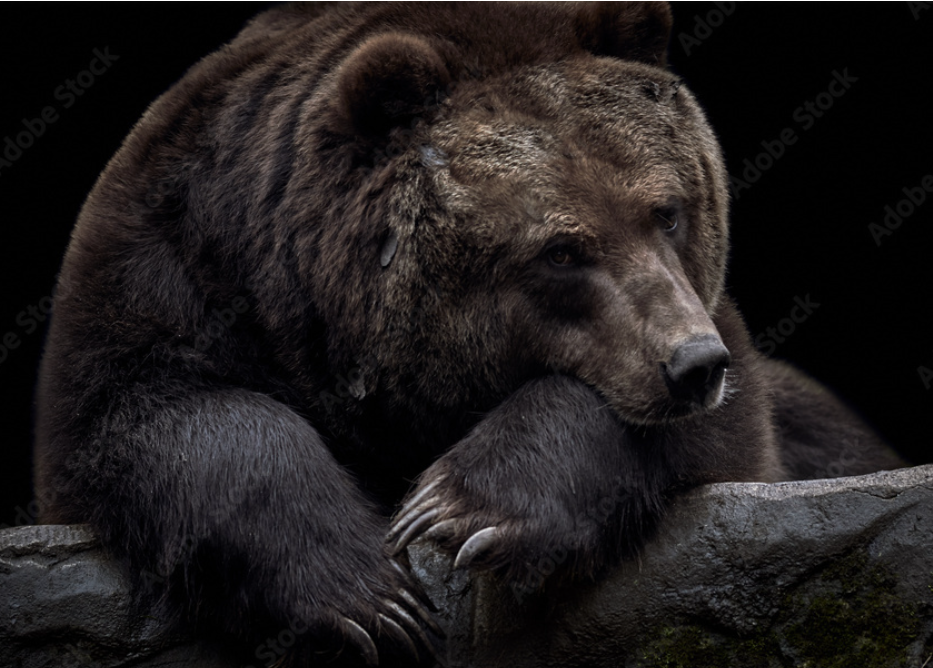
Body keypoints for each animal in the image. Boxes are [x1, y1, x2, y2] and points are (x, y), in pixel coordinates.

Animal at [33, 2, 905, 666]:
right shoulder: (169, 261)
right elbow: (152, 415)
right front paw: (371, 599)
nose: (691, 365)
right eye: (561, 250)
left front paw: (460, 509)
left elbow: (703, 431)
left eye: (666, 210)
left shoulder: (712, 333)